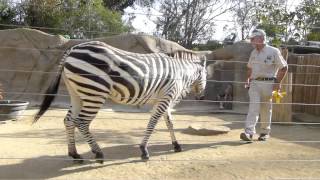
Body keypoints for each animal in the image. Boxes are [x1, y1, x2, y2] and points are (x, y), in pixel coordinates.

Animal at [33, 40, 208, 163]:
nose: (201, 97)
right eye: (206, 75)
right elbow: (153, 123)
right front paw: (144, 150)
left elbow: (169, 122)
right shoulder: (166, 97)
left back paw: (75, 154)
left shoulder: (163, 98)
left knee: (69, 120)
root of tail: (72, 49)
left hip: (77, 93)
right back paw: (98, 153)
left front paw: (176, 145)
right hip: (94, 92)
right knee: (81, 122)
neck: (181, 72)